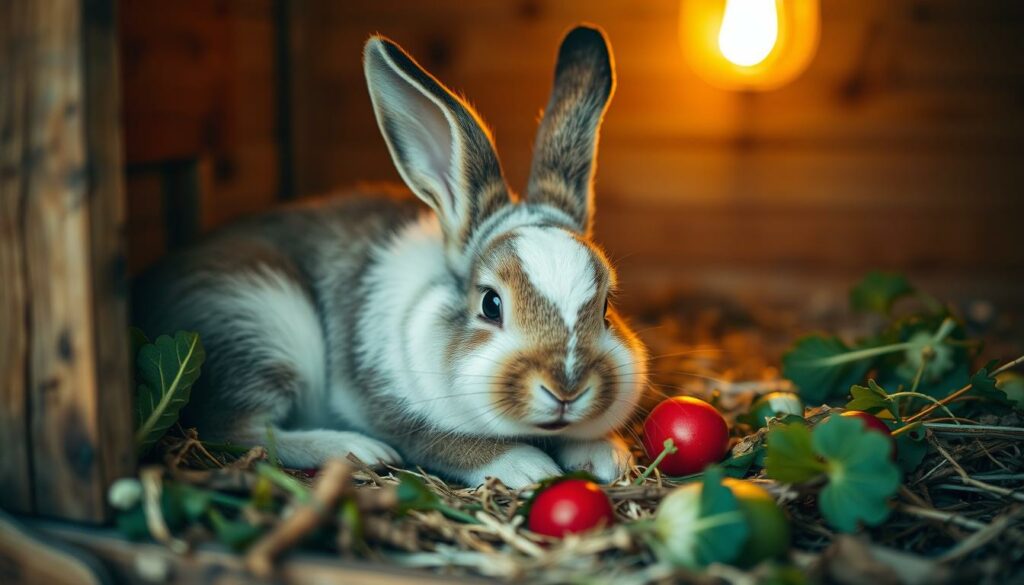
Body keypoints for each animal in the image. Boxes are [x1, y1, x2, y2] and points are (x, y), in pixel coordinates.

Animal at [134, 24, 647, 489]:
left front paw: (607, 455)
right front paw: (527, 467)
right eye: (490, 304)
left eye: (606, 307)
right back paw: (355, 449)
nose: (567, 388)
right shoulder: (391, 409)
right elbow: (444, 441)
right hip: (263, 323)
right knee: (238, 430)